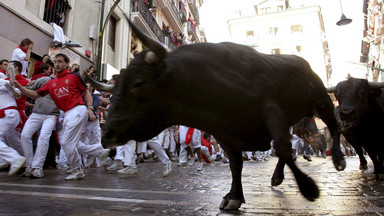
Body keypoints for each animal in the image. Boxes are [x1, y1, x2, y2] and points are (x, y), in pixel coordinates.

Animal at [88, 20, 346, 211]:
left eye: (138, 83)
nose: (107, 134)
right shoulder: (224, 133)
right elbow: (236, 164)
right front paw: (234, 197)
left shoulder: (271, 110)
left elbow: (281, 147)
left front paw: (309, 188)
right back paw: (277, 177)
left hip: (322, 101)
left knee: (333, 128)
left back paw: (338, 160)